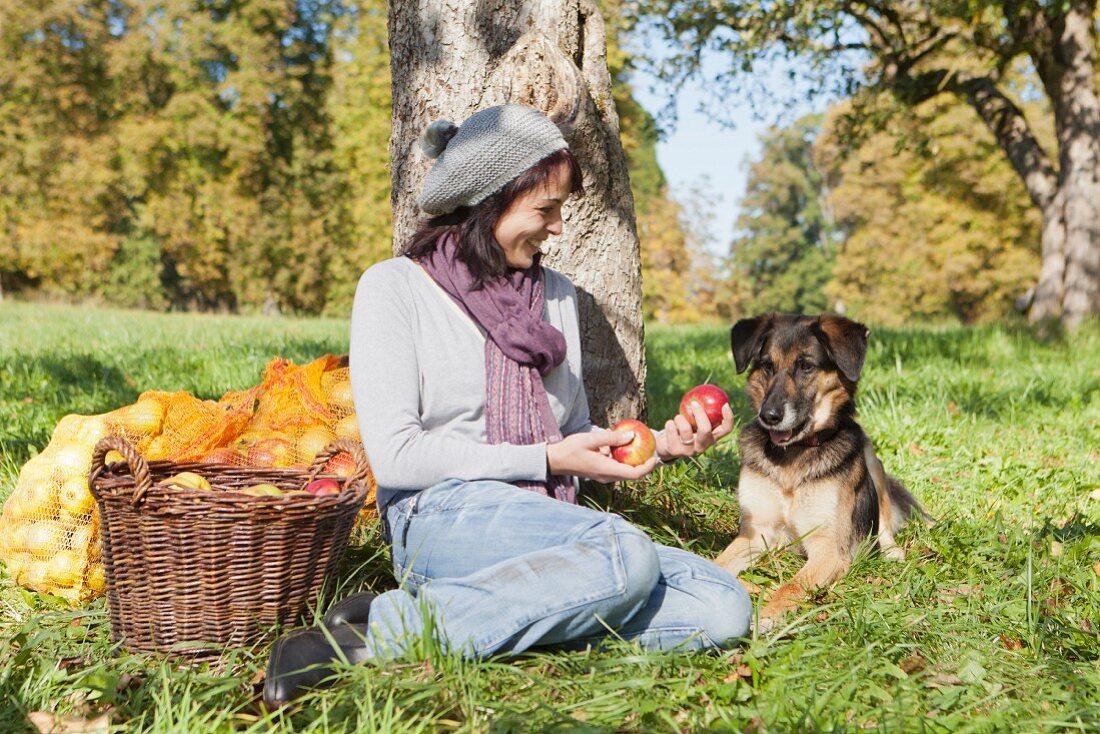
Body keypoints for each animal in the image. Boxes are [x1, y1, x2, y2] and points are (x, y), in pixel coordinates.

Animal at [712, 312, 928, 625]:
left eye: (806, 366)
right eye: (767, 365)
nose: (769, 416)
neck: (793, 455)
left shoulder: (828, 547)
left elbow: (793, 584)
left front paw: (769, 613)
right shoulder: (754, 533)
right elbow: (715, 563)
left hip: (870, 459)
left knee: (884, 520)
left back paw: (891, 550)